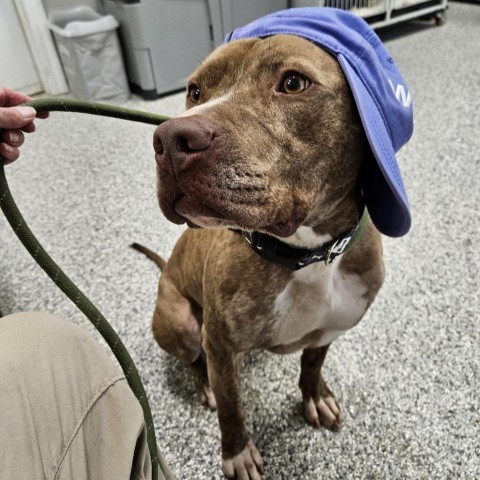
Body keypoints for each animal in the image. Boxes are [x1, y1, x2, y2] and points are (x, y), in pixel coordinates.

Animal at [137, 34, 384, 480]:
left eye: (293, 83)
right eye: (195, 90)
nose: (168, 140)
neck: (309, 254)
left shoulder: (330, 328)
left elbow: (312, 364)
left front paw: (314, 396)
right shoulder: (220, 345)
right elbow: (232, 407)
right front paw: (237, 453)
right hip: (182, 323)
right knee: (195, 361)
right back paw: (204, 386)